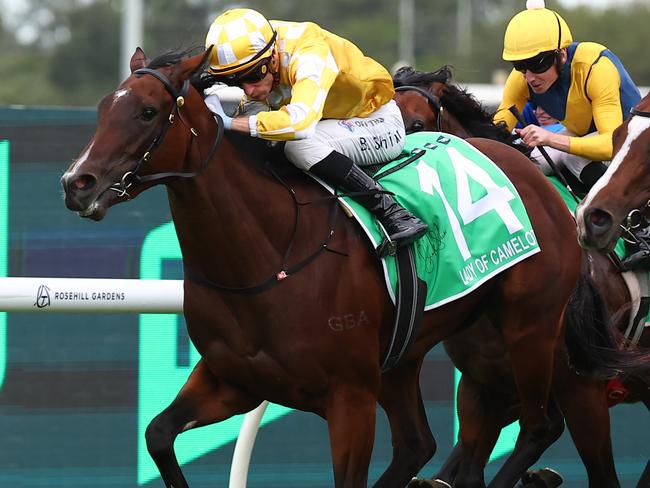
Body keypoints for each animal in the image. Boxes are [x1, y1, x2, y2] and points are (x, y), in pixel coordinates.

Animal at [62, 48, 616, 488]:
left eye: (147, 112)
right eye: (102, 109)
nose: (76, 183)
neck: (269, 256)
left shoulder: (349, 398)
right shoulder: (232, 379)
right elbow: (158, 434)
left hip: (531, 328)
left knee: (540, 426)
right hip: (413, 357)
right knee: (419, 444)